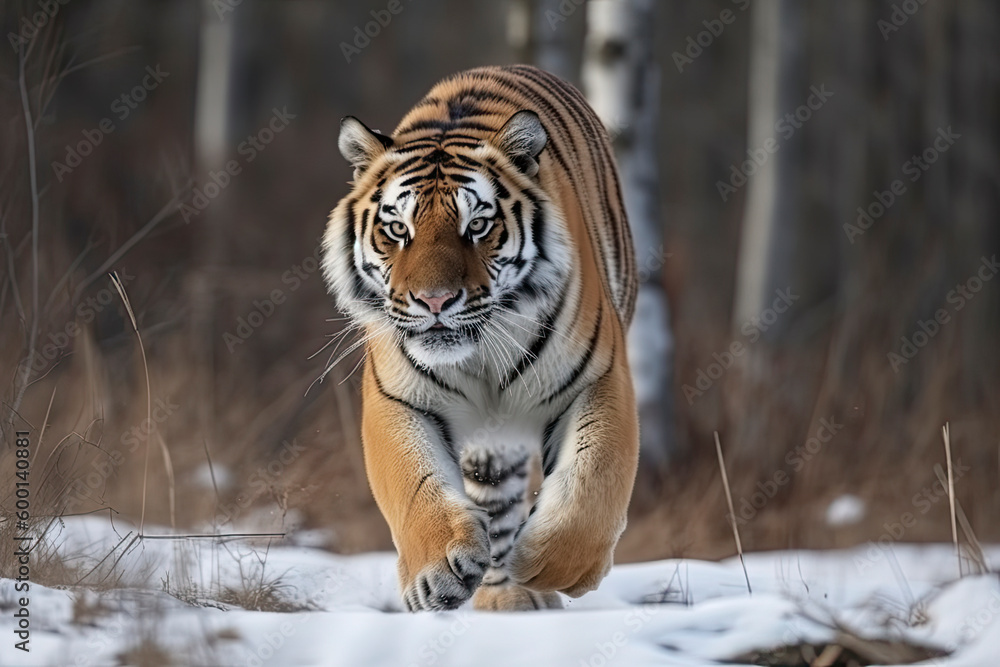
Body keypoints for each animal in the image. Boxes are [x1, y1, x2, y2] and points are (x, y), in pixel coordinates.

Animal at [321, 64, 639, 612]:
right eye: (397, 229)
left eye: (478, 226)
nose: (434, 301)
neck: (479, 358)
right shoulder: (397, 397)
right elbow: (413, 483)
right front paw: (436, 573)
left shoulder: (599, 378)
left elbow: (593, 480)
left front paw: (553, 566)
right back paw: (500, 592)